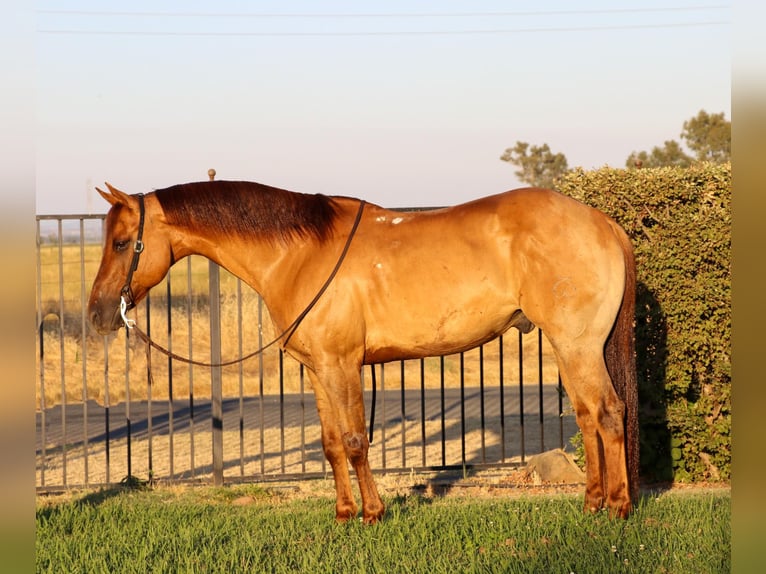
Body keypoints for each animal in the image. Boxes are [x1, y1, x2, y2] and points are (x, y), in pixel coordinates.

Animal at [88, 179, 639, 522]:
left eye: (121, 242)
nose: (97, 314)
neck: (300, 254)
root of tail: (602, 222)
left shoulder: (342, 366)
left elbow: (355, 441)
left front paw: (373, 514)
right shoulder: (318, 371)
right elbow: (332, 444)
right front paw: (344, 514)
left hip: (578, 344)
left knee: (608, 413)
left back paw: (618, 507)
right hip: (569, 347)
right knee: (587, 416)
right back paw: (592, 502)